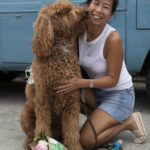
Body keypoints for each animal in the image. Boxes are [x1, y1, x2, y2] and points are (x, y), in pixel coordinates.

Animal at [19, 0, 88, 149]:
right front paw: (42, 143)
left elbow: (71, 131)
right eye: (63, 12)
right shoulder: (43, 102)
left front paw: (74, 146)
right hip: (26, 112)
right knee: (30, 133)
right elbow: (42, 129)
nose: (86, 11)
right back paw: (29, 143)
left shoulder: (72, 102)